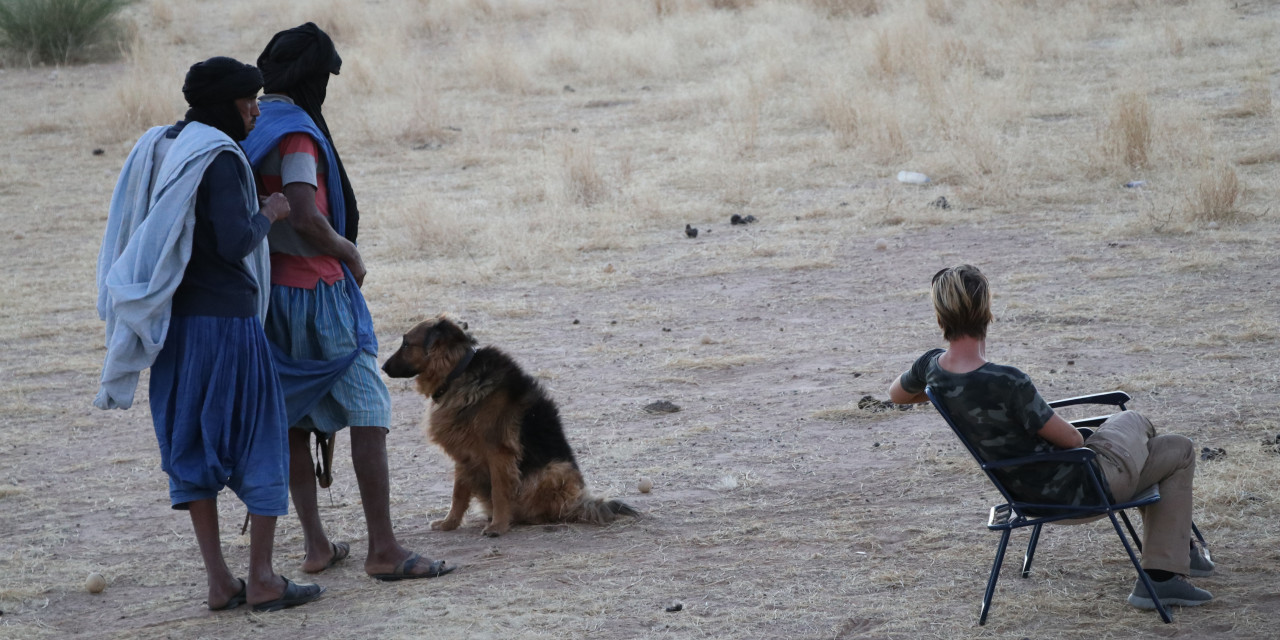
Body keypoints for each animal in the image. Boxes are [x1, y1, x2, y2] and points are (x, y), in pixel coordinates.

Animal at [381, 314, 637, 535]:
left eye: (406, 344)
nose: (382, 367)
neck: (458, 373)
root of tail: (582, 500)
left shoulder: (499, 453)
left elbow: (499, 491)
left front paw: (498, 526)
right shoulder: (463, 454)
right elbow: (458, 493)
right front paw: (449, 523)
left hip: (553, 470)